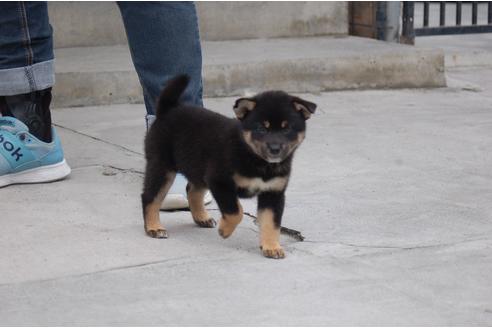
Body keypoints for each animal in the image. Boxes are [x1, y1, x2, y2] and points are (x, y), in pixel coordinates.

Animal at [141, 74, 316, 258]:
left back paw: (201, 217)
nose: (275, 149)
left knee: (192, 190)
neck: (257, 160)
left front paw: (271, 246)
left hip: (198, 168)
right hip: (162, 167)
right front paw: (225, 230)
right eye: (261, 128)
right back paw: (154, 228)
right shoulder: (220, 181)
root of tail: (167, 110)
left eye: (287, 128)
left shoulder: (273, 192)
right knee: (149, 197)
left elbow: (271, 223)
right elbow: (235, 211)